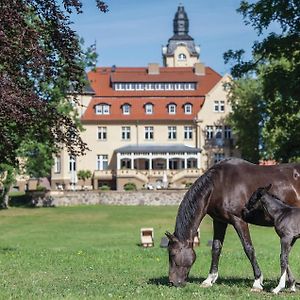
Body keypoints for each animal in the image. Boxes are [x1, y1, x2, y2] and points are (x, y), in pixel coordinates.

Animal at [165, 157, 300, 290]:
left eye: (172, 254)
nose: (172, 282)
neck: (219, 185)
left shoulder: (239, 221)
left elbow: (249, 248)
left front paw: (257, 281)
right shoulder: (219, 221)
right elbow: (216, 248)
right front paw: (209, 279)